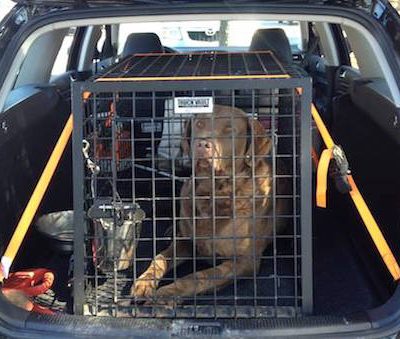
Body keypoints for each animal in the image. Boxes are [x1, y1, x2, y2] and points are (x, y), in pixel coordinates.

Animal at [130, 105, 284, 304]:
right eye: (199, 124)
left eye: (229, 130)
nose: (202, 144)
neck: (211, 195)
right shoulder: (186, 242)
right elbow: (160, 257)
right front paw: (145, 282)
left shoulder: (245, 262)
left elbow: (197, 277)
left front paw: (165, 295)